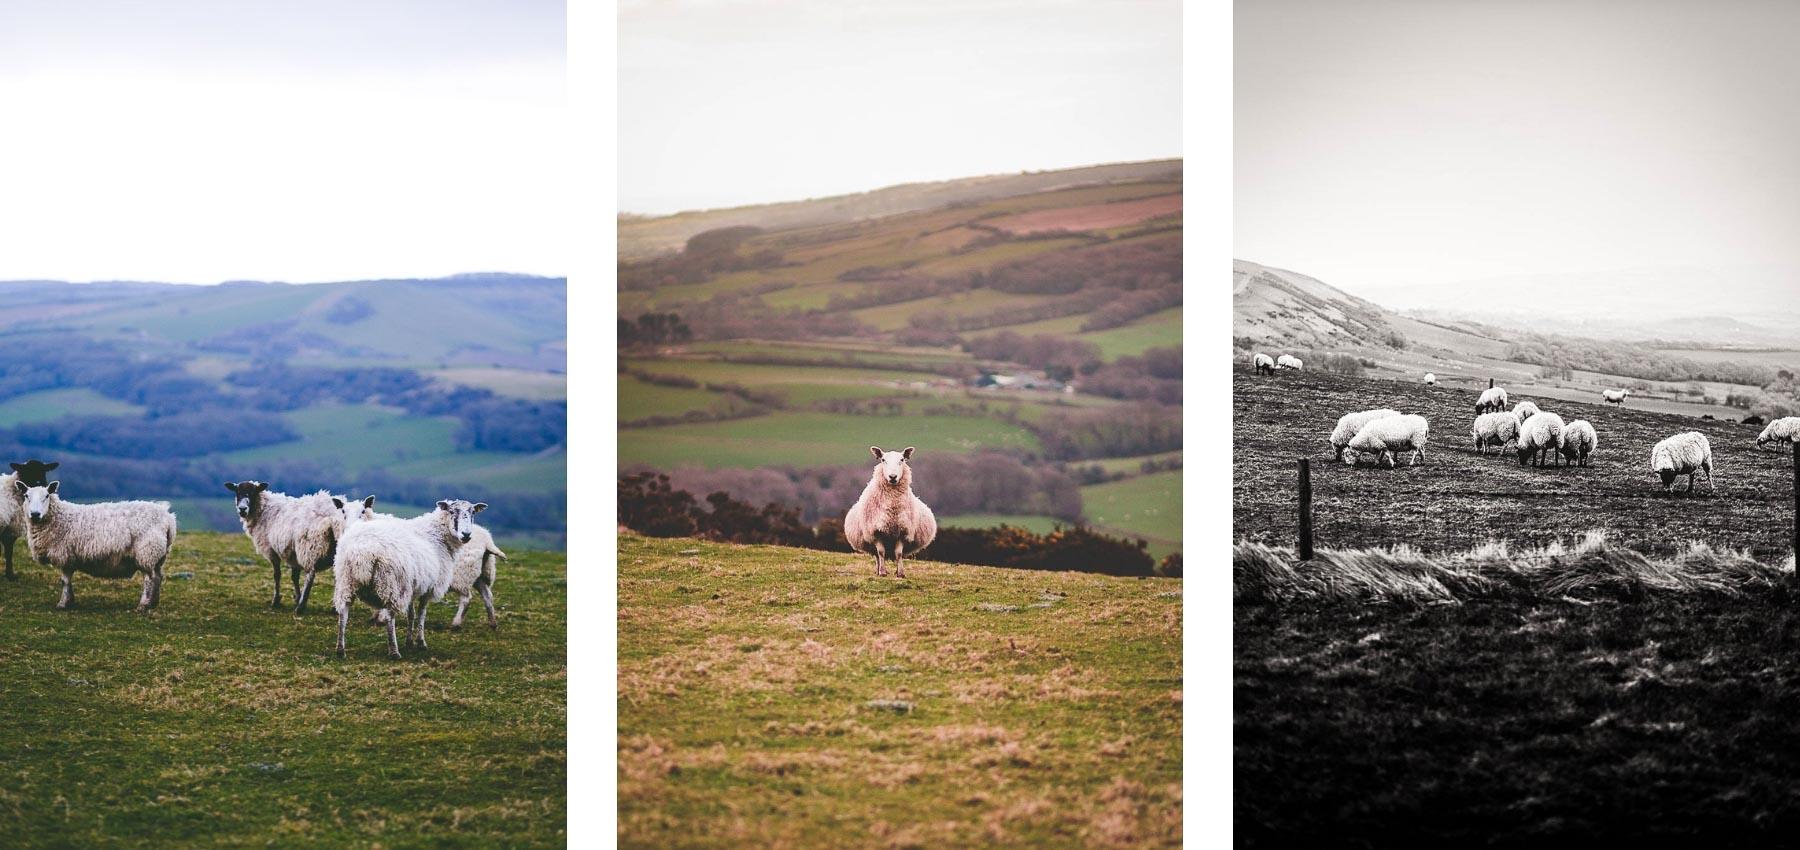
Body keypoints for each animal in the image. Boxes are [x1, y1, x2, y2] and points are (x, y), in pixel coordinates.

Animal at [16, 479, 179, 612]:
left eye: (46, 496)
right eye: (26, 496)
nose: (35, 514)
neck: (59, 518)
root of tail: (168, 517)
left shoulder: (65, 555)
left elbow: (65, 581)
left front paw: (63, 603)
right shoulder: (70, 557)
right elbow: (67, 581)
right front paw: (70, 601)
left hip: (146, 551)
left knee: (149, 579)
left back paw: (143, 605)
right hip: (159, 554)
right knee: (158, 577)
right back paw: (154, 602)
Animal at [225, 482, 343, 615]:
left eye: (253, 492)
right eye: (237, 492)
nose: (242, 509)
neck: (263, 510)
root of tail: (332, 519)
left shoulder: (271, 550)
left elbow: (277, 575)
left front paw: (276, 601)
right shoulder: (293, 553)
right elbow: (294, 577)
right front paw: (297, 597)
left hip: (309, 548)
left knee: (310, 576)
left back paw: (301, 607)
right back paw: (334, 607)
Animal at [333, 493, 486, 659]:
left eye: (473, 513)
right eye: (452, 512)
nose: (466, 535)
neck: (436, 536)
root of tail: (362, 551)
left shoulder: (412, 585)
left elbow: (411, 614)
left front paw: (409, 641)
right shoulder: (428, 587)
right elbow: (421, 614)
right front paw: (421, 642)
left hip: (346, 580)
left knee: (343, 612)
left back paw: (340, 649)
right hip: (390, 582)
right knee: (390, 616)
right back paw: (394, 651)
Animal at [846, 444, 943, 576]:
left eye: (902, 460)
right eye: (883, 460)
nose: (893, 477)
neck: (892, 508)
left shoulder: (902, 531)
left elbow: (899, 554)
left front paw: (900, 573)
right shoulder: (876, 532)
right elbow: (881, 552)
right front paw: (882, 572)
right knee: (877, 556)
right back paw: (878, 570)